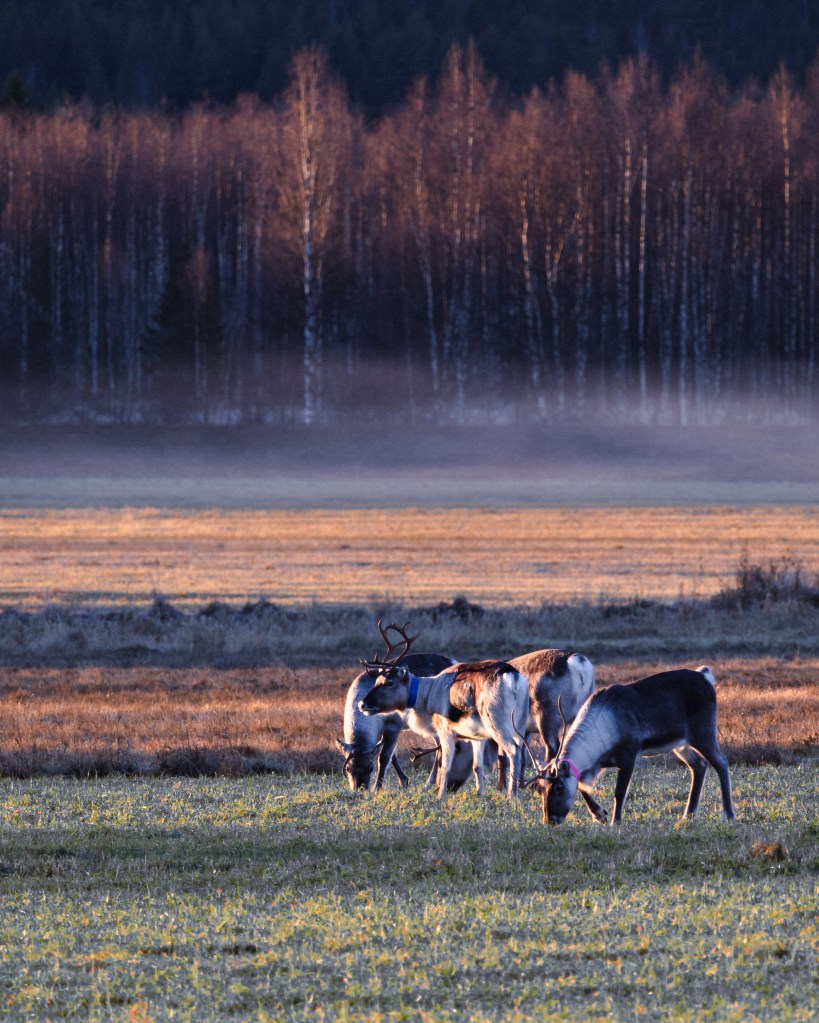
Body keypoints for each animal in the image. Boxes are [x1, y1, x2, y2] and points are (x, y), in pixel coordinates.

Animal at [358, 621, 530, 799]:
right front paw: (479, 794)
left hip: (496, 722)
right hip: (520, 722)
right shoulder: (477, 736)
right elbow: (477, 766)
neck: (427, 693)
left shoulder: (445, 730)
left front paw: (439, 795)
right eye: (377, 680)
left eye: (389, 682)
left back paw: (512, 795)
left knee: (514, 751)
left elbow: (445, 764)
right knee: (521, 750)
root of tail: (513, 677)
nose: (362, 704)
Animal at [527, 665, 736, 825]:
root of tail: (705, 677)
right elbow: (583, 786)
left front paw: (615, 821)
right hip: (681, 745)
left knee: (721, 763)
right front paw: (600, 815)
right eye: (540, 788)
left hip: (703, 733)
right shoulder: (598, 763)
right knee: (699, 765)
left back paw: (728, 814)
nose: (550, 820)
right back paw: (689, 814)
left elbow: (619, 792)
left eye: (559, 787)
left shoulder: (628, 756)